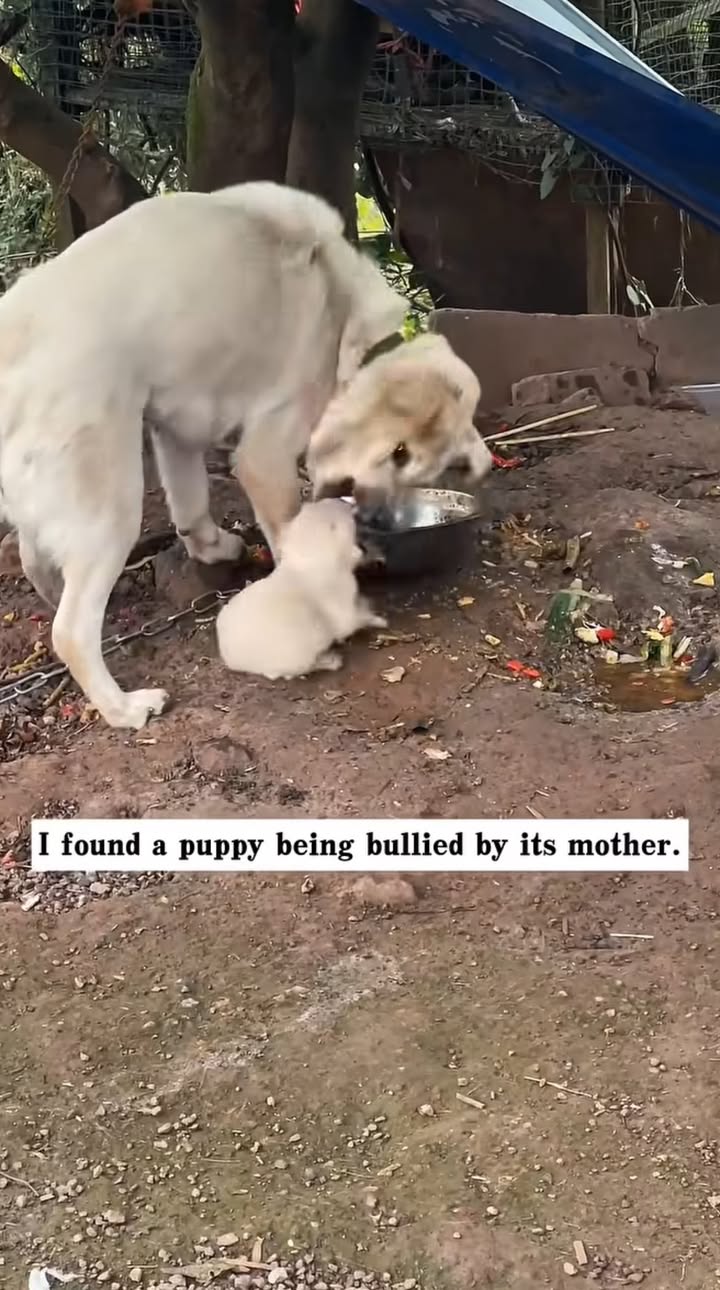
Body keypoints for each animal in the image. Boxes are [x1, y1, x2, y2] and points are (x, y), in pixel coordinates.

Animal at [216, 498, 385, 680]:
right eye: (336, 521)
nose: (341, 500)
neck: (307, 558)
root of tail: (232, 659)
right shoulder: (343, 602)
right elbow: (354, 620)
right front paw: (378, 619)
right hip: (297, 657)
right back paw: (330, 661)